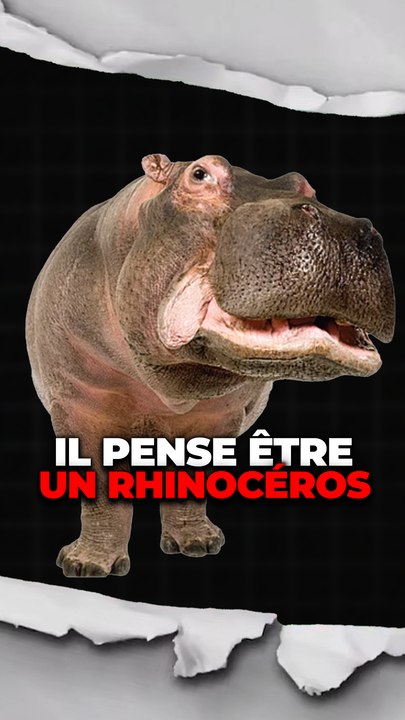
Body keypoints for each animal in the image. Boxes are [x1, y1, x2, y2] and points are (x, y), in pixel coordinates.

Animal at [26, 154, 395, 577]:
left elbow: (192, 479)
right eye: (200, 174)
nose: (346, 228)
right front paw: (85, 566)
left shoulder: (216, 415)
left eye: (306, 185)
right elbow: (101, 493)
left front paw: (198, 545)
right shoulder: (83, 406)